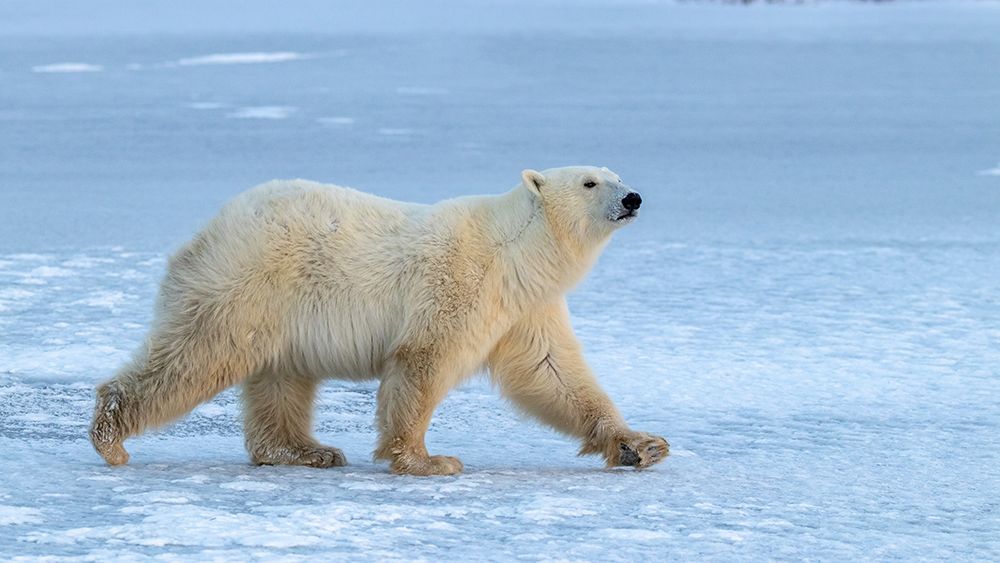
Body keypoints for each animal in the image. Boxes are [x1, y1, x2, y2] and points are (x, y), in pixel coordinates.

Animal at [92, 167, 672, 476]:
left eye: (619, 175)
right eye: (591, 181)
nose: (633, 196)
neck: (516, 251)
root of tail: (210, 228)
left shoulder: (525, 308)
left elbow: (553, 374)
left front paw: (642, 445)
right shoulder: (460, 282)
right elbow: (422, 362)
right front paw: (429, 460)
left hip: (280, 308)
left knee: (281, 378)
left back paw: (307, 451)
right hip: (251, 282)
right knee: (198, 354)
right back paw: (111, 436)